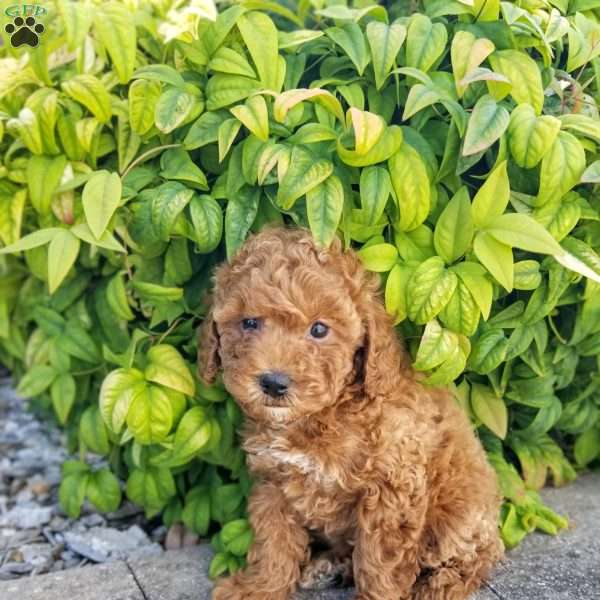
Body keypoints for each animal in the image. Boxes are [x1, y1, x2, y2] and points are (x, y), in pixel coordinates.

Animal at [199, 227, 504, 596]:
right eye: (249, 323)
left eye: (319, 329)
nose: (273, 383)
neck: (320, 416)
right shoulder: (273, 480)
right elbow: (274, 542)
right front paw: (259, 588)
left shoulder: (392, 488)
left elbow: (379, 563)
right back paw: (328, 567)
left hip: (461, 518)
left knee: (474, 558)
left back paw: (437, 586)